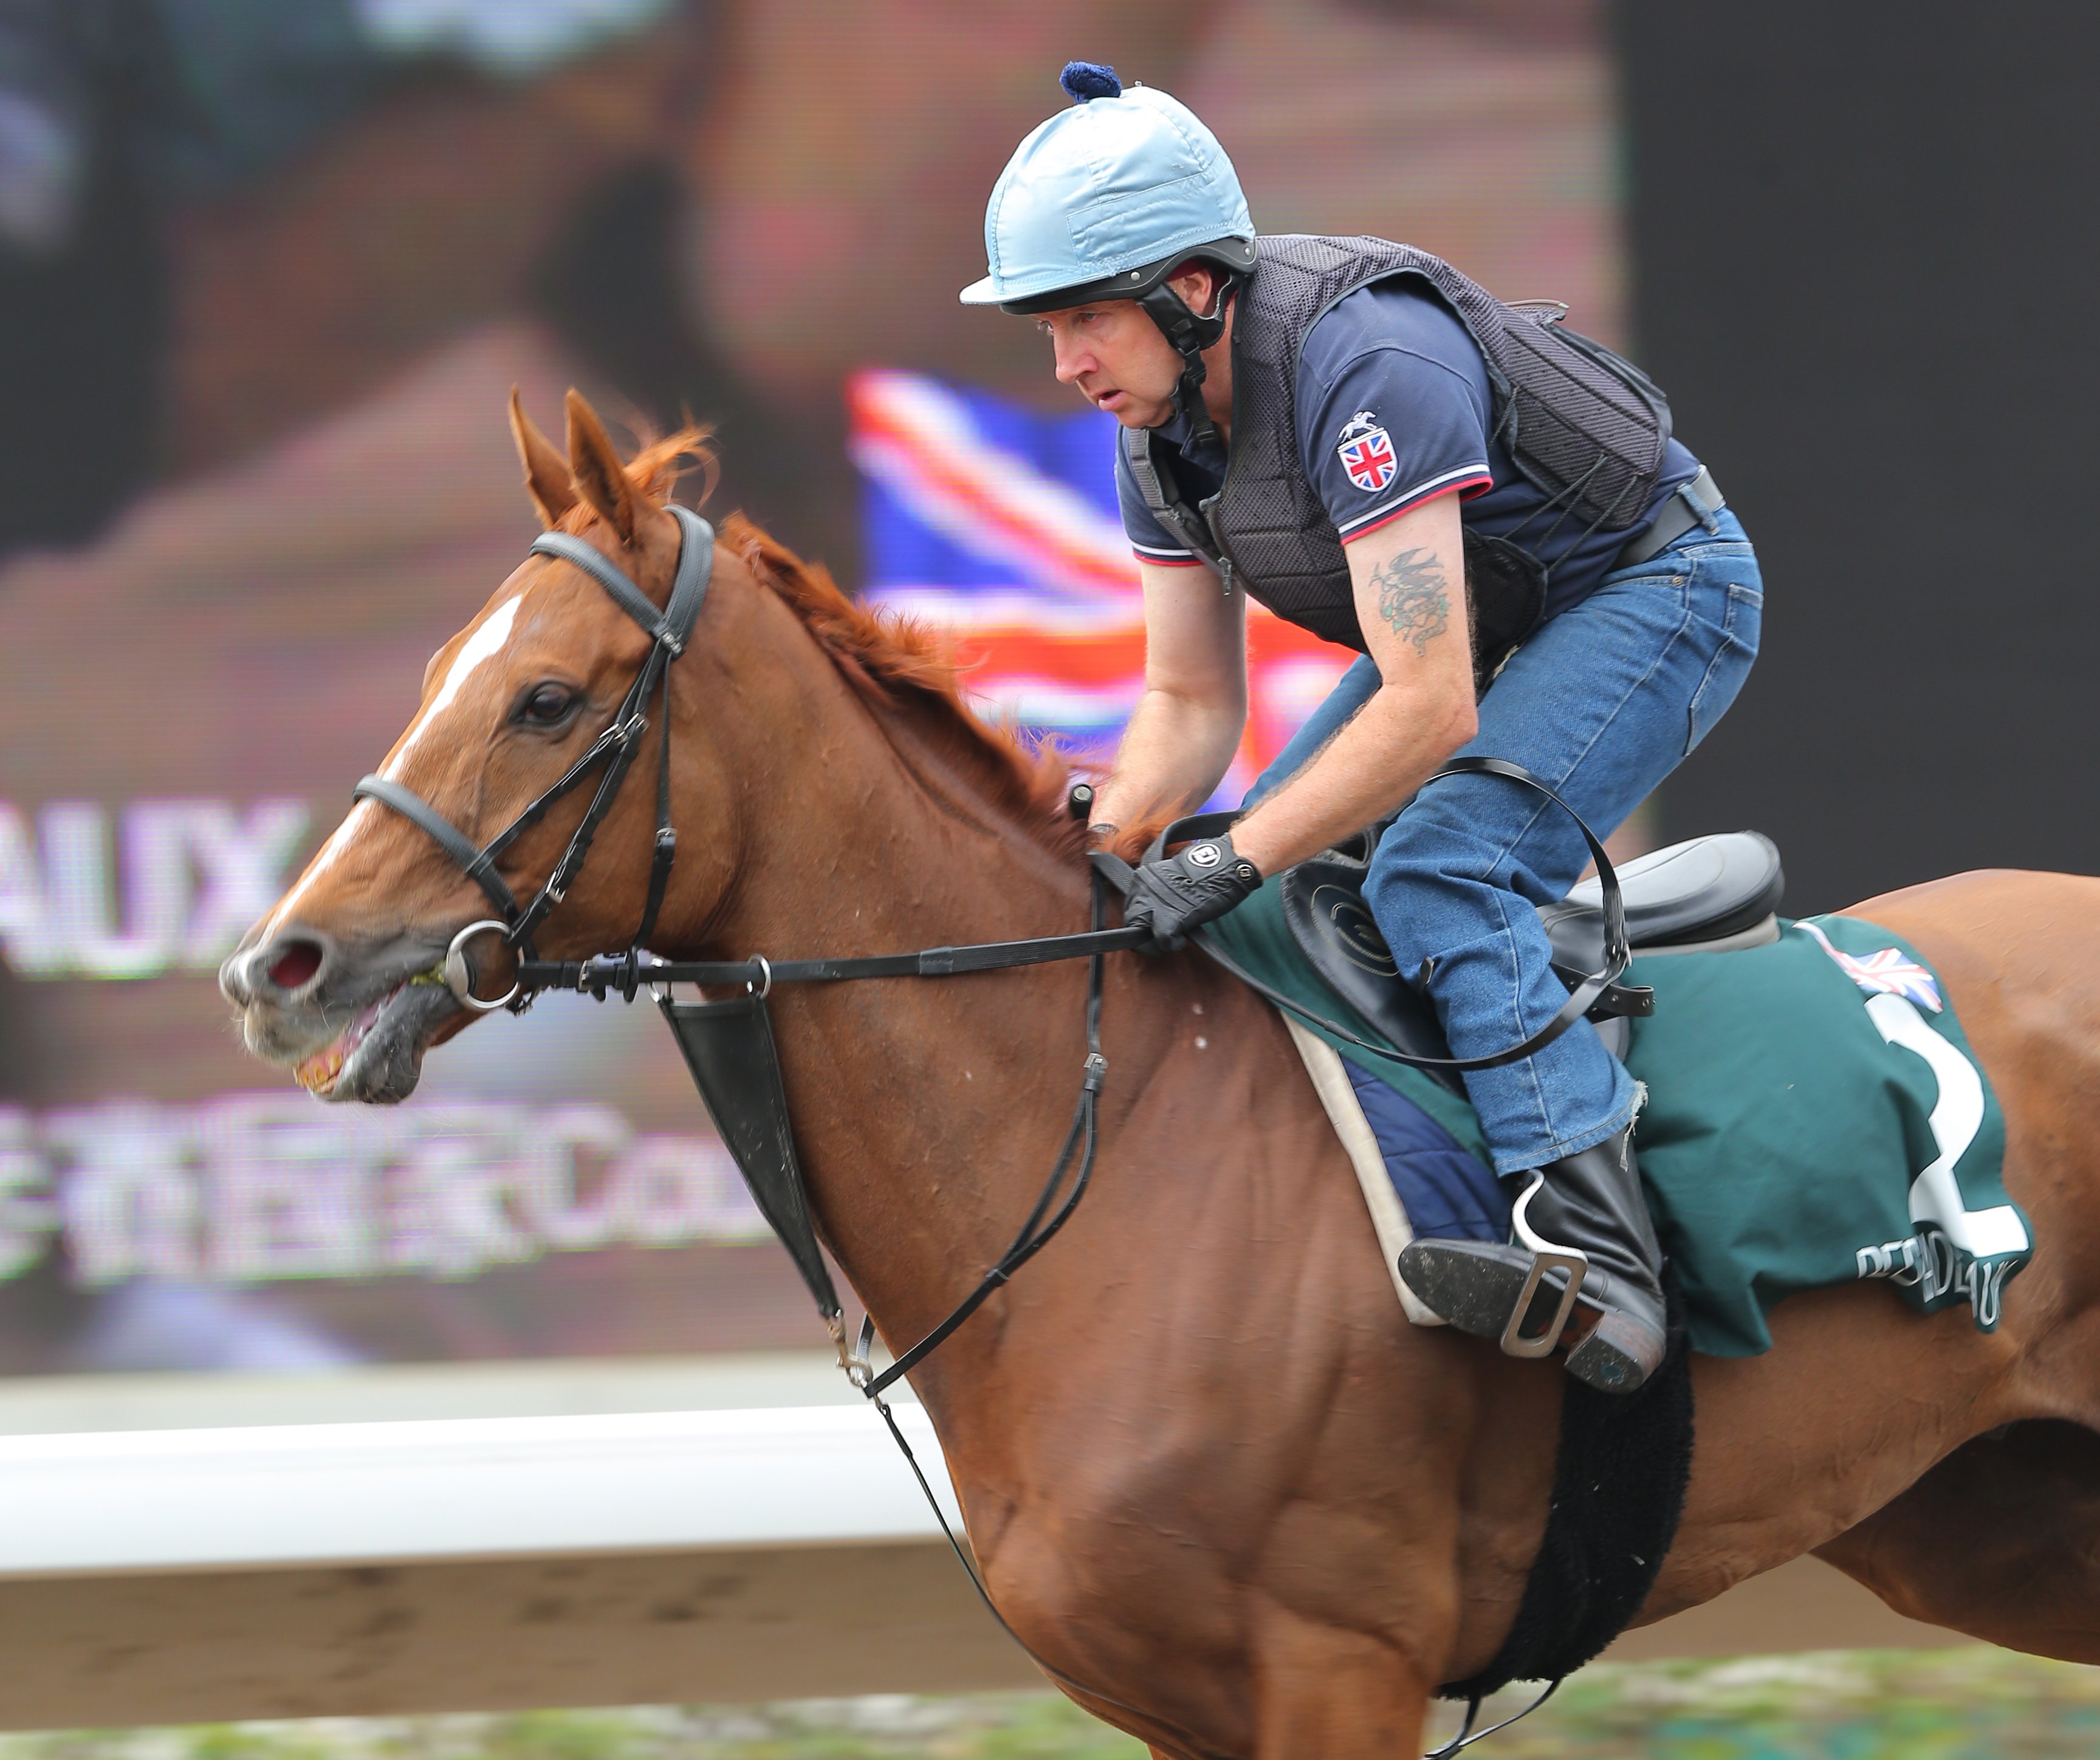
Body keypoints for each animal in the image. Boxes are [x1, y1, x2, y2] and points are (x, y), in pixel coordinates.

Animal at [217, 388, 2100, 1760]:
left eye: (544, 698)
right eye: (439, 671)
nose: (278, 969)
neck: (1114, 1144)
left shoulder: (1338, 1666)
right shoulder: (1180, 1704)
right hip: (1991, 1520)